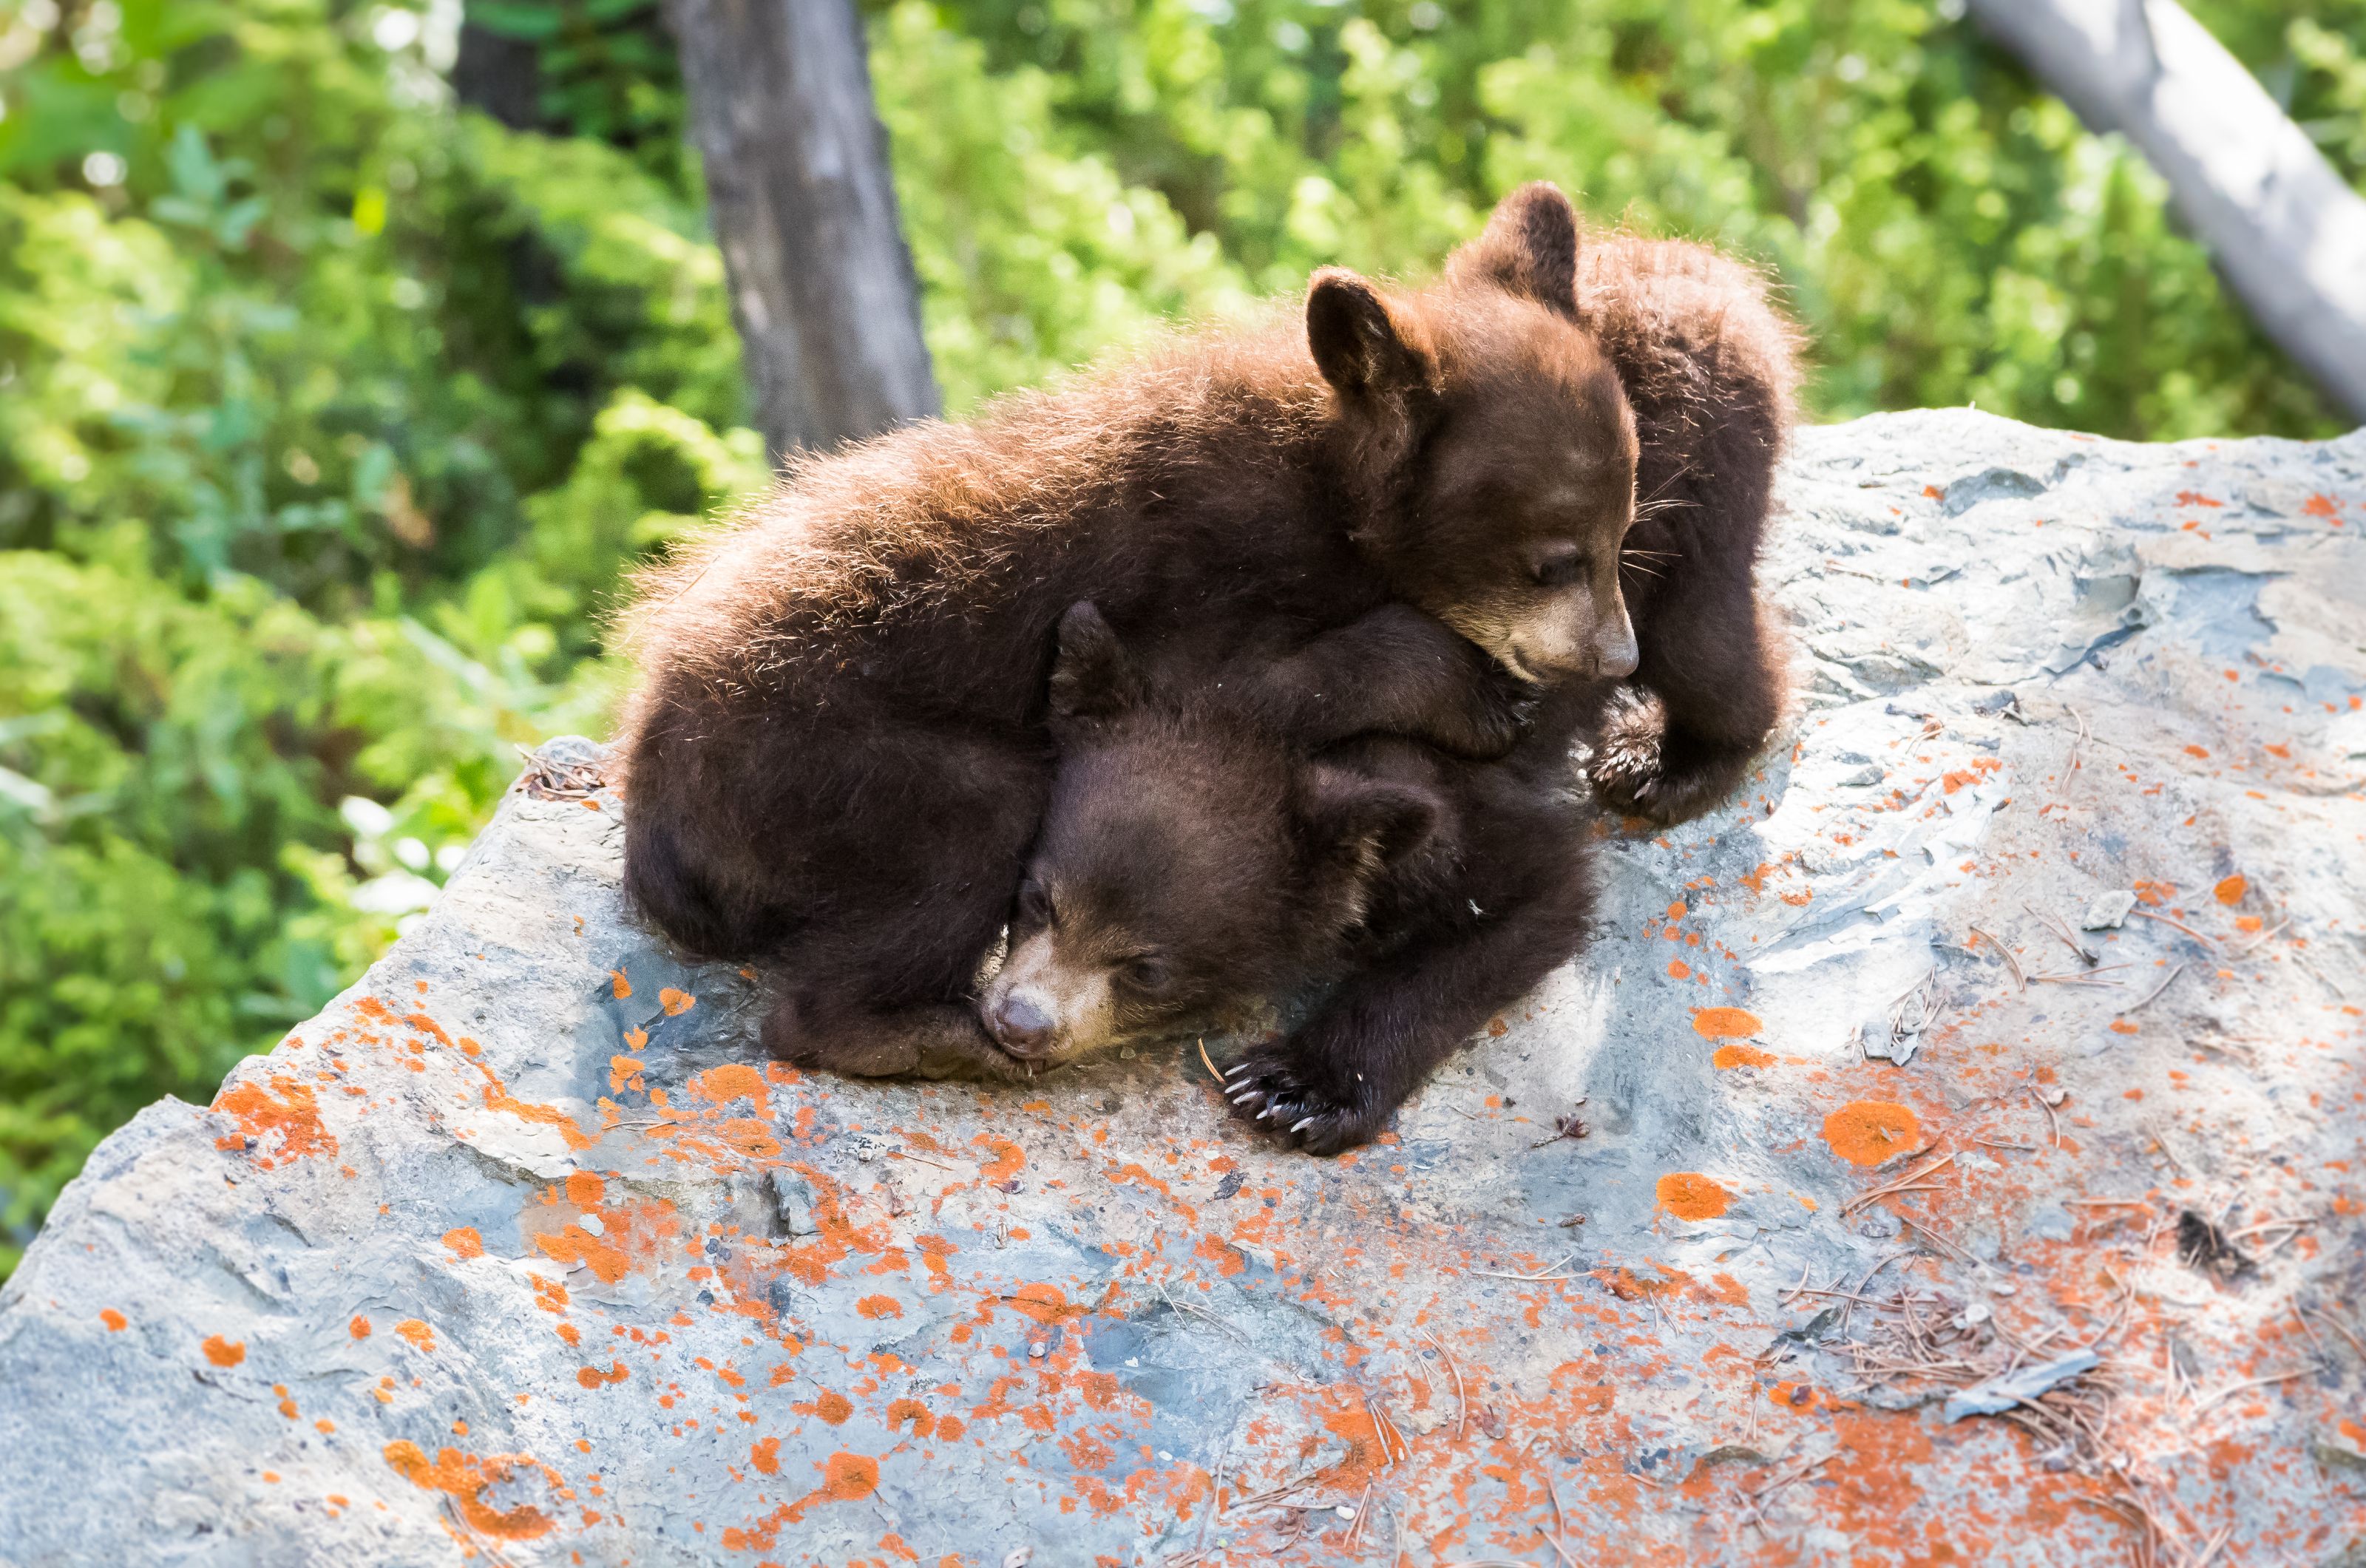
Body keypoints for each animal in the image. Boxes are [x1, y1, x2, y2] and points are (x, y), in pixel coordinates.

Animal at [617, 183, 1648, 1081]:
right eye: (1555, 560)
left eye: (1624, 527)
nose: (1619, 657)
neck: (1324, 481)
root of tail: (653, 818)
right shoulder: (1206, 576)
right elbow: (1266, 687)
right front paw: (1477, 697)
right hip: (807, 773)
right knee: (971, 821)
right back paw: (941, 1033)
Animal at [977, 602, 1594, 1153]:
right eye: (1039, 899)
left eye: (1148, 971)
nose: (1018, 1022)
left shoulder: (1458, 811)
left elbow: (1538, 890)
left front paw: (1297, 1088)